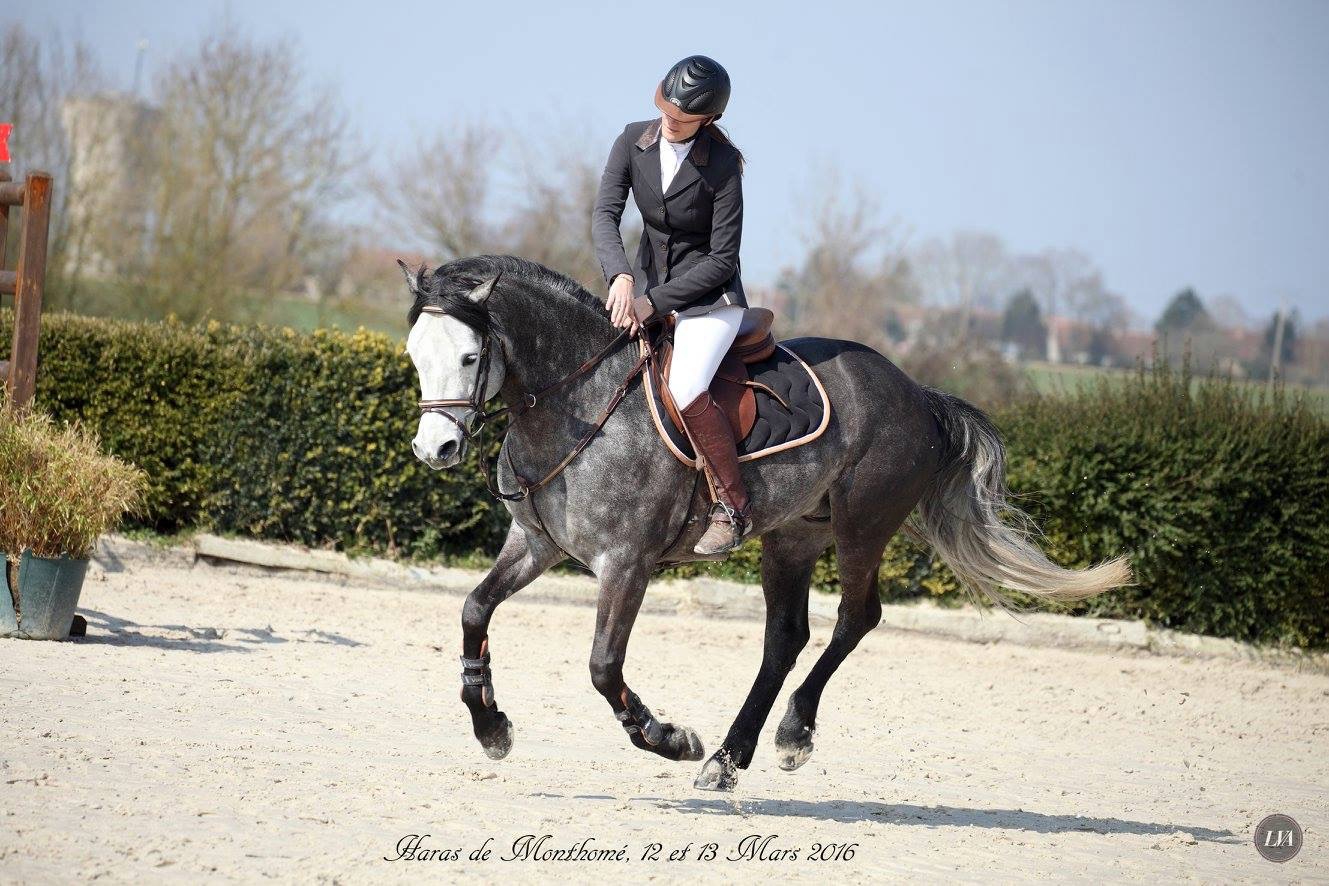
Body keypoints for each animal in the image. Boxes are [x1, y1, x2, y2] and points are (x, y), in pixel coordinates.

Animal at [401, 253, 1131, 792]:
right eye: (413, 355)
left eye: (470, 358)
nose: (436, 450)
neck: (573, 402)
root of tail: (914, 392)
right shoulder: (535, 544)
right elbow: (473, 609)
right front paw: (490, 727)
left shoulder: (626, 563)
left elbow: (604, 667)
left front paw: (667, 739)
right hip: (792, 536)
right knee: (786, 636)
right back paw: (728, 758)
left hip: (862, 525)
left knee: (855, 618)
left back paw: (788, 736)